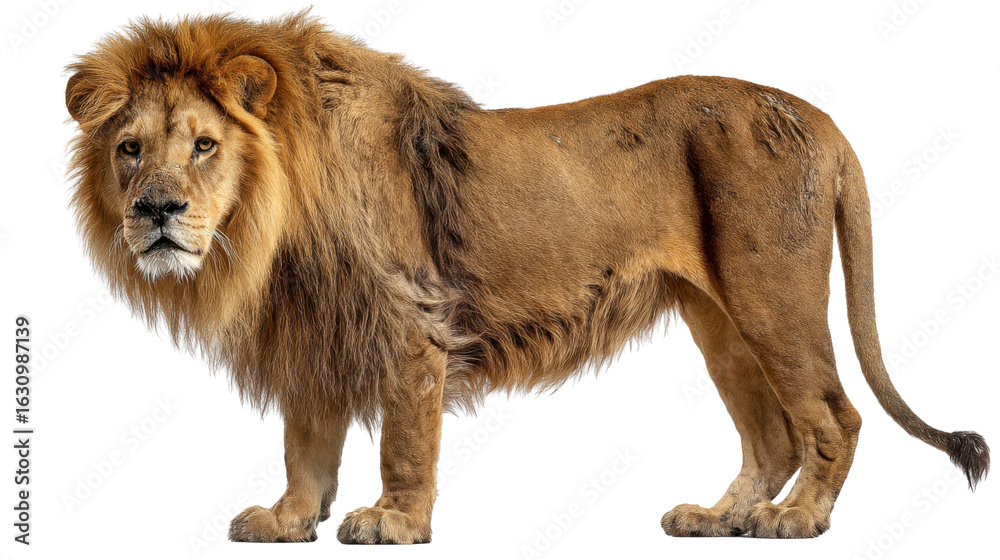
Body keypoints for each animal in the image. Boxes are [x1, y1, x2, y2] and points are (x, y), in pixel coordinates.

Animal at [64, 12, 988, 542]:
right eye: (130, 149)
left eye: (204, 145)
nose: (154, 210)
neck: (268, 234)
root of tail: (819, 116)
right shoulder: (315, 326)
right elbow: (306, 442)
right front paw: (290, 520)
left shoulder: (411, 320)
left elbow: (404, 440)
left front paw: (392, 522)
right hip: (718, 321)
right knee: (773, 436)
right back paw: (720, 517)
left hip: (772, 299)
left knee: (833, 417)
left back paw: (796, 519)